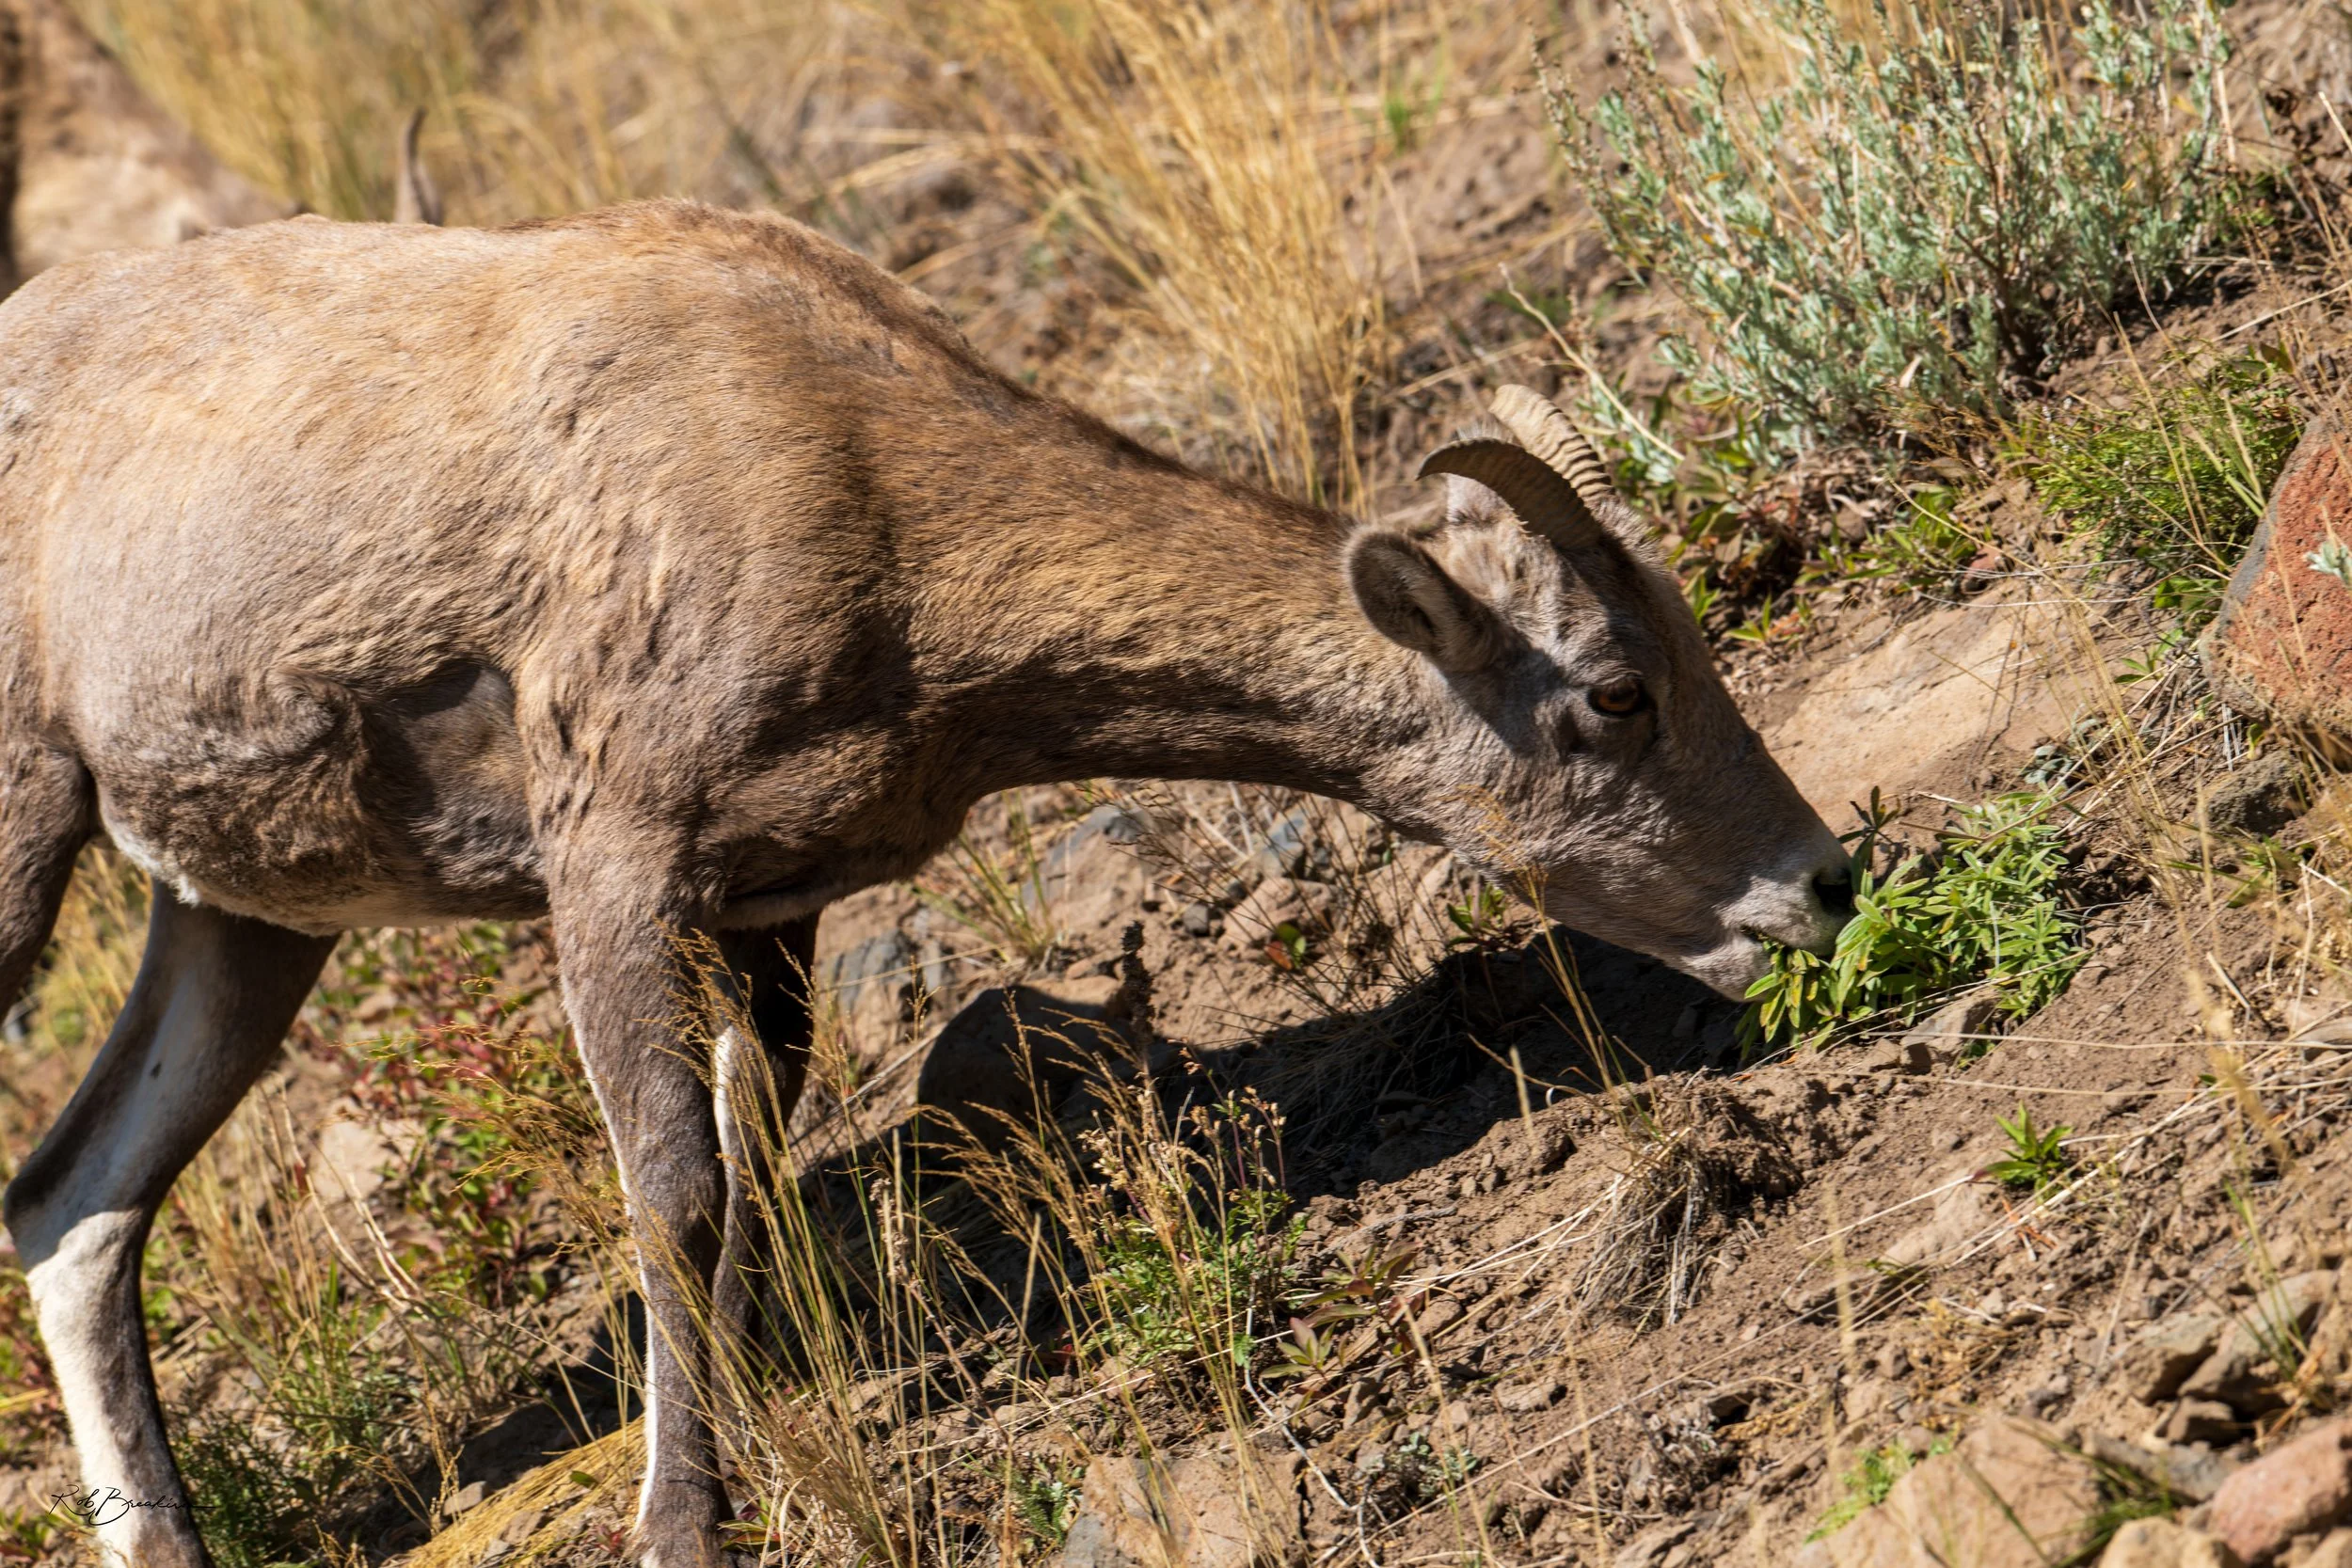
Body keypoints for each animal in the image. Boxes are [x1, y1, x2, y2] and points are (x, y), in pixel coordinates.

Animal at [0, 200, 1850, 1567]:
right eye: (1614, 690)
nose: (1821, 886)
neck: (862, 481)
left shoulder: (767, 913)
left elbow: (749, 1178)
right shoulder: (616, 871)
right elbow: (676, 1196)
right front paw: (684, 1525)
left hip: (238, 925)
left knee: (75, 1205)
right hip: (39, 845)